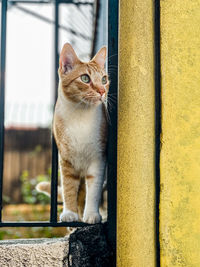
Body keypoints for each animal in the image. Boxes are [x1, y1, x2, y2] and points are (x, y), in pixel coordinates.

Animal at [37, 43, 109, 224]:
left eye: (104, 79)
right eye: (85, 78)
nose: (102, 91)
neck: (80, 116)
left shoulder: (98, 158)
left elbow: (94, 189)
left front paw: (92, 214)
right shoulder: (66, 159)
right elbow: (68, 187)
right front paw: (69, 213)